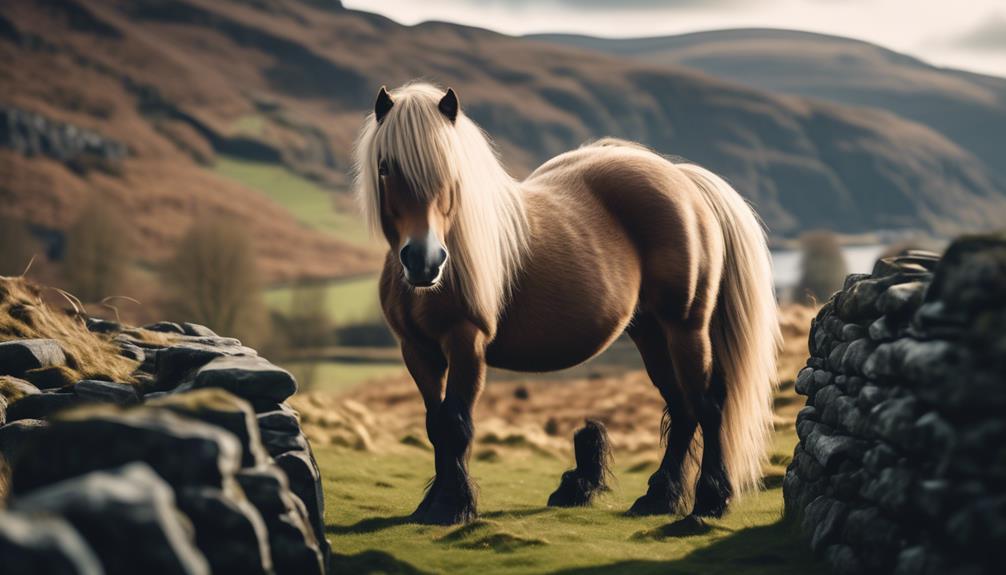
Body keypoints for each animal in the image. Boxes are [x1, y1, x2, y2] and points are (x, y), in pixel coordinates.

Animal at [356, 81, 784, 526]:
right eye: (385, 167)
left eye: (450, 169)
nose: (424, 261)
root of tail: (683, 179)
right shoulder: (417, 350)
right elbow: (435, 424)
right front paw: (431, 504)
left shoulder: (465, 342)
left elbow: (456, 424)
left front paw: (450, 506)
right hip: (650, 332)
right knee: (683, 409)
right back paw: (657, 498)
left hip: (685, 327)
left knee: (708, 405)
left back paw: (710, 501)